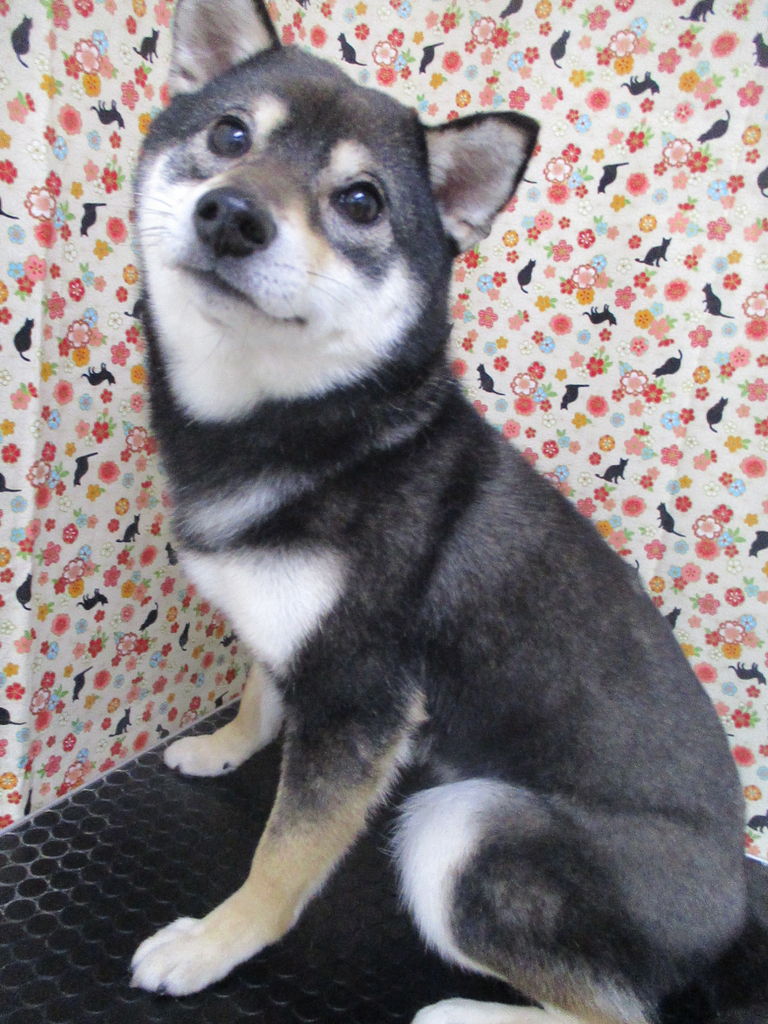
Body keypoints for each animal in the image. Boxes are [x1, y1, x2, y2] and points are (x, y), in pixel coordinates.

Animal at [131, 1, 768, 1019]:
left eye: (361, 201)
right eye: (229, 136)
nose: (232, 213)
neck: (309, 431)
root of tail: (727, 919)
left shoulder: (362, 699)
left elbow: (283, 857)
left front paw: (213, 944)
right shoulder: (292, 638)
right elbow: (263, 686)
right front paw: (227, 744)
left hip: (462, 823)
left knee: (617, 1007)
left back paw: (461, 1008)